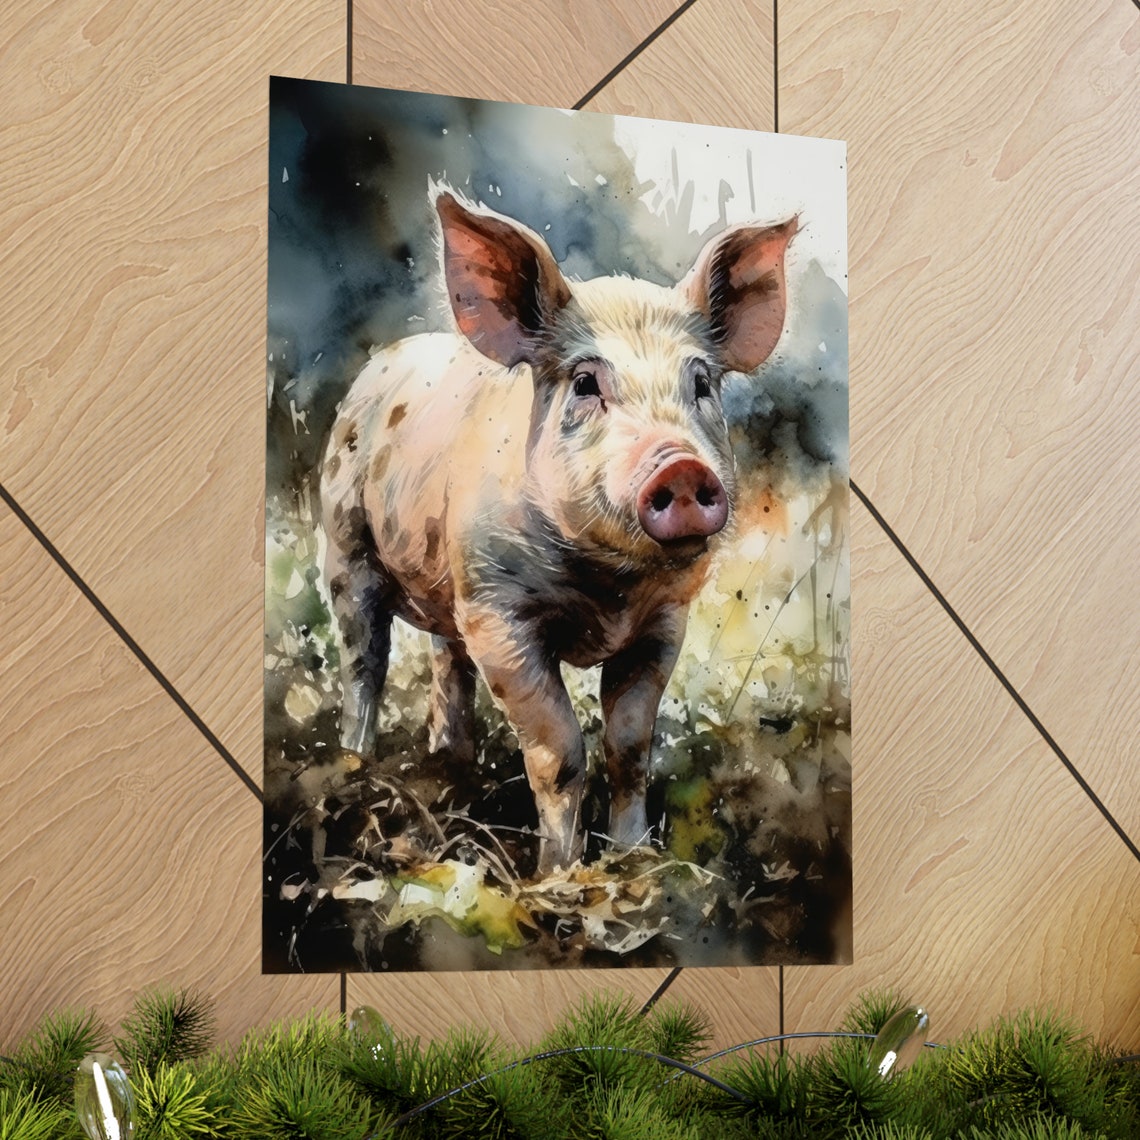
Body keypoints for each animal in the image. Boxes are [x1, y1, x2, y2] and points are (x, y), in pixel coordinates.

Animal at [320, 189, 796, 874]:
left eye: (702, 382)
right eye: (585, 382)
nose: (680, 467)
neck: (608, 587)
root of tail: (380, 363)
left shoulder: (663, 624)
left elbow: (630, 746)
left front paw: (634, 858)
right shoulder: (498, 614)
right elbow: (559, 751)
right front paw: (557, 875)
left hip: (445, 584)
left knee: (445, 661)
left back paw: (449, 764)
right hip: (345, 546)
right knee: (364, 661)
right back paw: (357, 765)